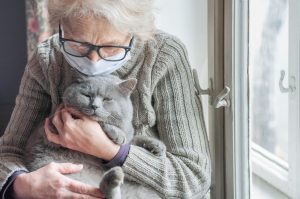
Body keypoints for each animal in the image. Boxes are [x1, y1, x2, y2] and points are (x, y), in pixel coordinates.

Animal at [25, 75, 166, 199]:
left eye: (107, 99)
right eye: (87, 95)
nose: (94, 106)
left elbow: (134, 139)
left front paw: (157, 145)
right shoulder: (50, 129)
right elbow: (100, 123)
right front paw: (118, 134)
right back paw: (113, 177)